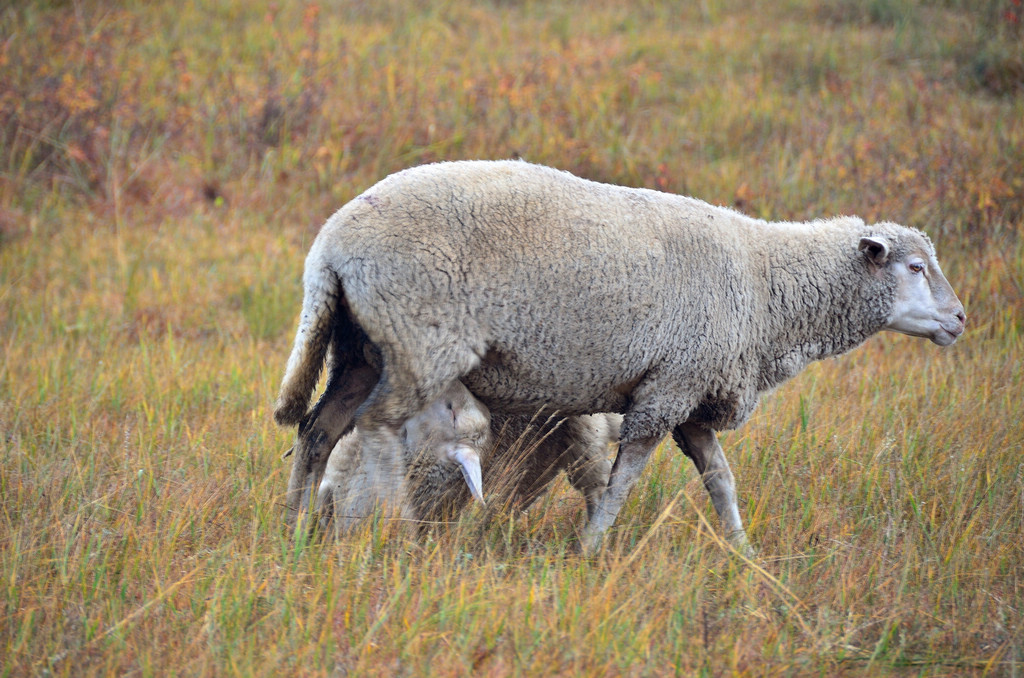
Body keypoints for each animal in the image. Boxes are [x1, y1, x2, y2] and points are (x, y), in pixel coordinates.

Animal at [276, 161, 962, 557]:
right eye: (915, 268)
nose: (959, 320)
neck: (766, 285)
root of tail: (331, 247)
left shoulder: (692, 397)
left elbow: (721, 480)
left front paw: (743, 555)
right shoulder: (666, 391)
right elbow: (620, 480)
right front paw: (590, 551)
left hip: (363, 347)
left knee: (318, 431)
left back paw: (295, 527)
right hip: (421, 341)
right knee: (377, 427)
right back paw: (396, 528)